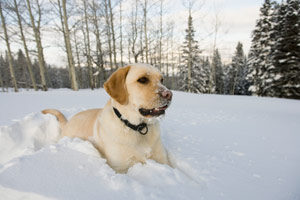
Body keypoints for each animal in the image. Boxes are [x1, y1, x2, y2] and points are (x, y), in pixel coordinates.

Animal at [42, 63, 173, 173]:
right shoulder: (120, 167)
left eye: (162, 80)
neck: (139, 128)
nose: (169, 94)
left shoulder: (162, 160)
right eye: (142, 79)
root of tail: (68, 122)